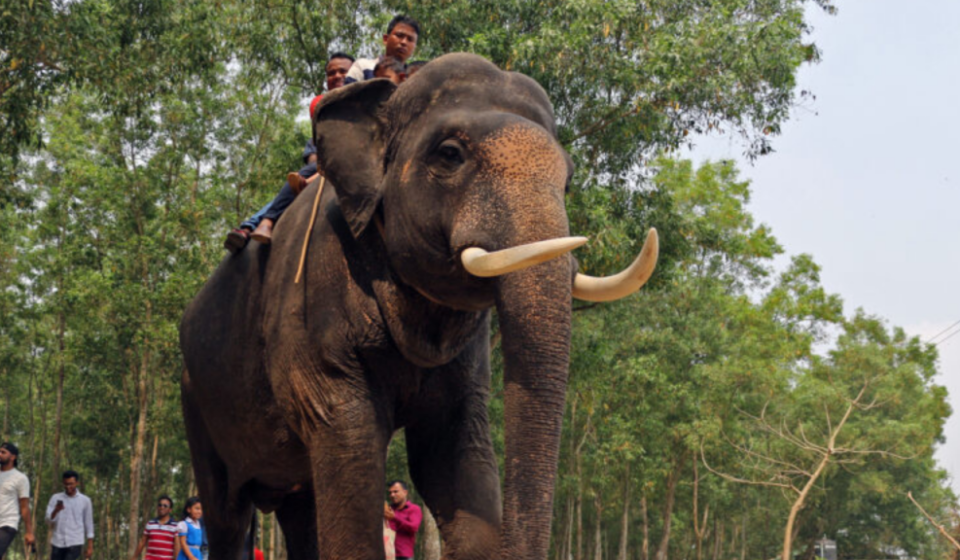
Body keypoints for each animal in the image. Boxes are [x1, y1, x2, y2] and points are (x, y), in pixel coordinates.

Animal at [179, 53, 658, 560]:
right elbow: (349, 436)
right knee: (227, 513)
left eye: (567, 181)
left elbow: (449, 450)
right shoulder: (312, 305)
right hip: (197, 398)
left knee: (299, 507)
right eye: (449, 154)